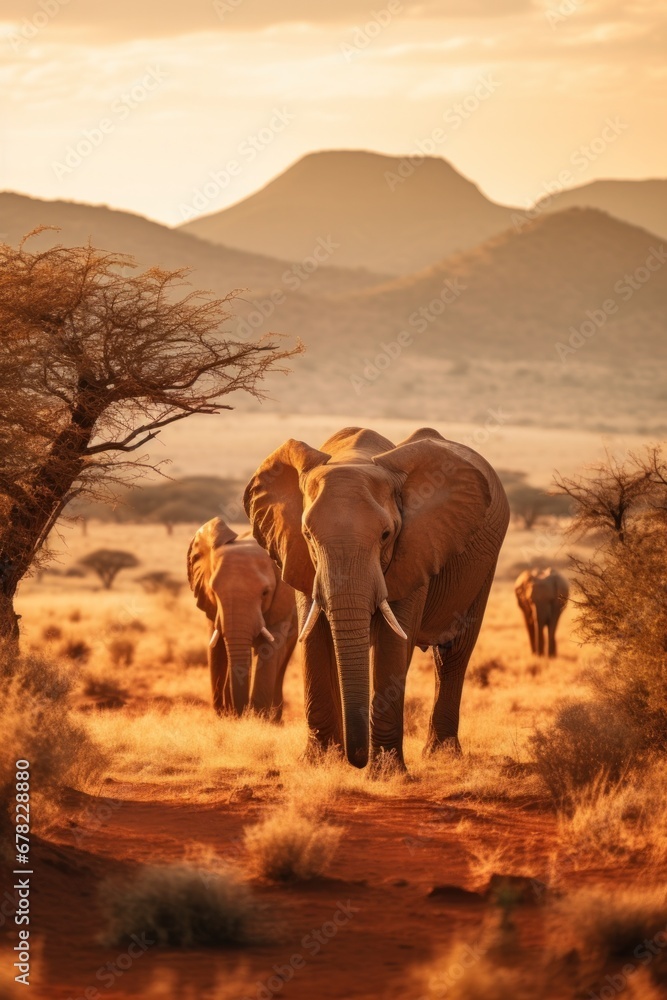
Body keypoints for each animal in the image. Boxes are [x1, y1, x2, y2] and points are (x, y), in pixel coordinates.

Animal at [187, 517, 298, 719]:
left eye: (265, 593)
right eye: (214, 591)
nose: (239, 712)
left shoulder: (283, 601)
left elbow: (270, 648)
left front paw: (259, 718)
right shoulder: (212, 607)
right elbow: (218, 648)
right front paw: (229, 716)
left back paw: (275, 719)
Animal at [243, 426, 510, 769]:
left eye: (386, 535)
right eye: (307, 535)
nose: (356, 759)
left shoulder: (415, 549)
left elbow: (393, 642)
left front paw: (387, 772)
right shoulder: (298, 556)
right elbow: (313, 638)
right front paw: (319, 762)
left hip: (484, 567)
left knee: (453, 653)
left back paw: (442, 755)